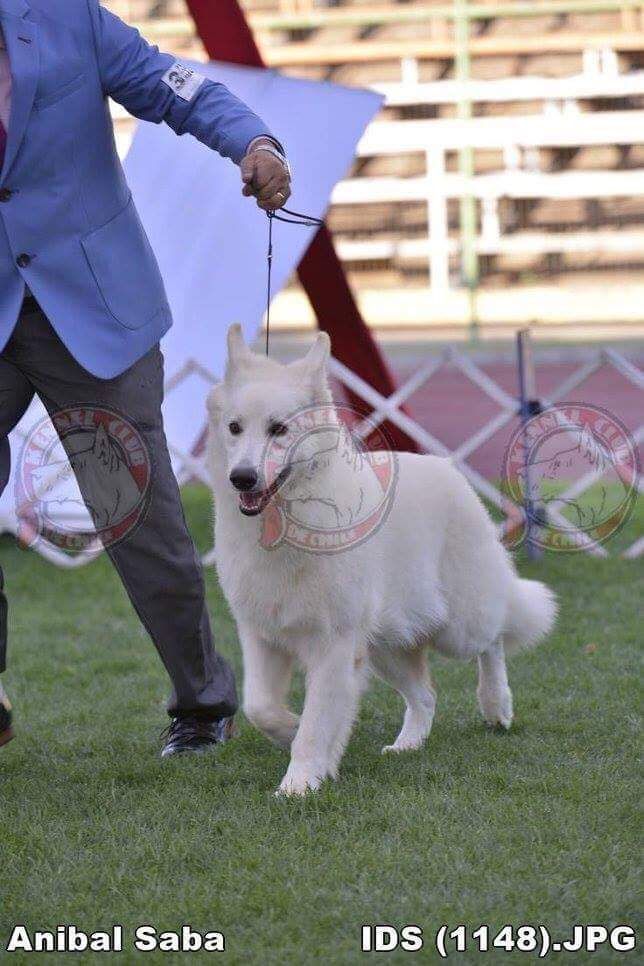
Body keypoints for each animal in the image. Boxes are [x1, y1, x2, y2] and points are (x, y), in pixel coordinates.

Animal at [205, 328, 552, 796]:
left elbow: (316, 723)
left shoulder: (333, 643)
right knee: (426, 695)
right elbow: (260, 707)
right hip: (385, 644)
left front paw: (299, 783)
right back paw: (408, 745)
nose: (241, 478)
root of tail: (446, 467)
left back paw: (497, 706)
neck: (285, 526)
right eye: (234, 428)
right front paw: (291, 734)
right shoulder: (263, 634)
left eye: (278, 429)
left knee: (493, 641)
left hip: (458, 627)